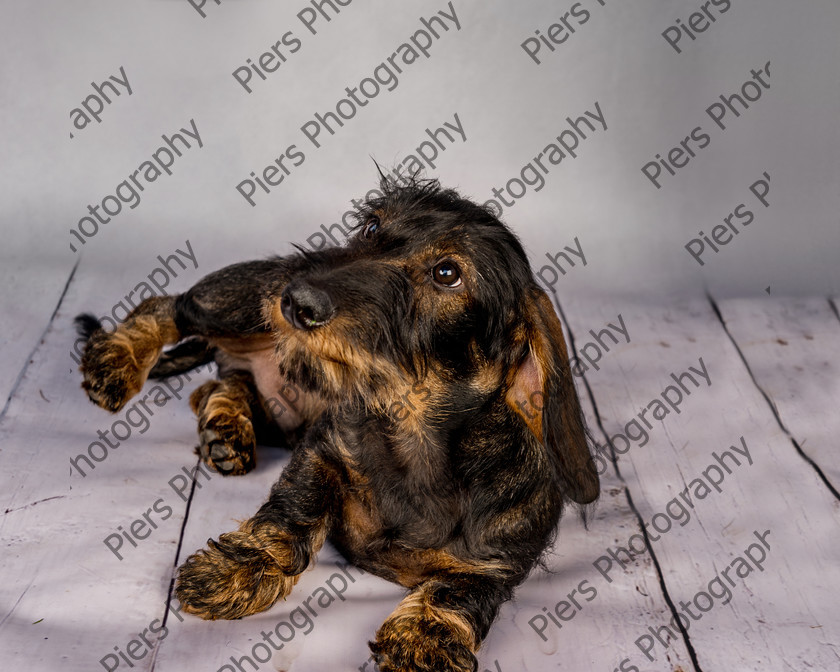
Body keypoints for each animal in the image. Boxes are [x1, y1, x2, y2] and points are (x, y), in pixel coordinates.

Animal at [77, 176, 596, 668]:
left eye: (448, 273)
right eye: (370, 226)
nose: (297, 300)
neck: (413, 434)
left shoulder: (500, 558)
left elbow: (458, 589)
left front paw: (426, 638)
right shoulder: (322, 448)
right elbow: (292, 512)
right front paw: (237, 568)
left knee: (220, 384)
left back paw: (225, 430)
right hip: (235, 305)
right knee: (165, 307)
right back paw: (117, 363)